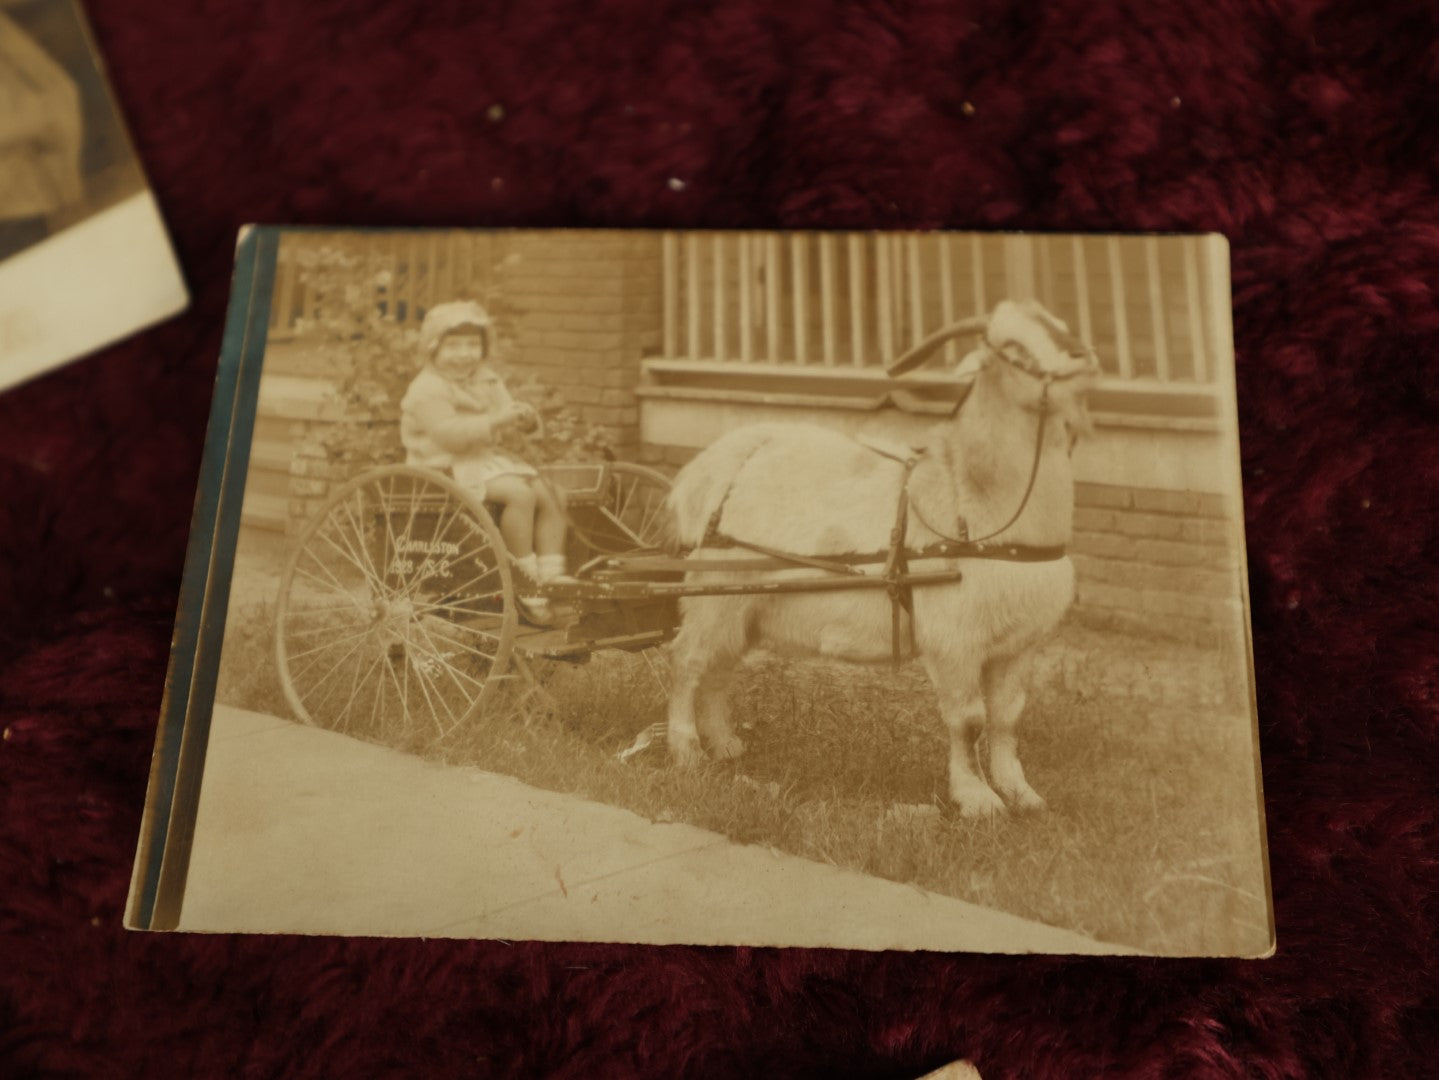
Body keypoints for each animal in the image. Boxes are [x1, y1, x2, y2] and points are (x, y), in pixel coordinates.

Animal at [664, 300, 1099, 816]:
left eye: (1061, 325)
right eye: (1012, 346)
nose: (1083, 362)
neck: (973, 501)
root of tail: (719, 460)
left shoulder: (1019, 644)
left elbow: (1008, 718)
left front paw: (1020, 793)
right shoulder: (953, 639)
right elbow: (969, 719)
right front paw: (977, 801)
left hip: (745, 603)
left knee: (721, 666)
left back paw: (725, 744)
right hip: (714, 590)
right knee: (688, 659)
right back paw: (686, 750)